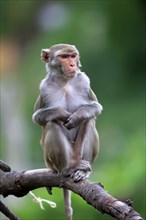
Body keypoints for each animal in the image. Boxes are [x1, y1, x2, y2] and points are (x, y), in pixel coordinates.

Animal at [32, 43, 102, 219]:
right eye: (63, 57)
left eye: (73, 56)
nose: (71, 65)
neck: (65, 83)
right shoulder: (43, 87)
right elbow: (38, 117)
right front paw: (62, 113)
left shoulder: (84, 81)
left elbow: (95, 107)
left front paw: (78, 116)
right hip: (51, 161)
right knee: (52, 124)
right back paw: (66, 170)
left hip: (78, 152)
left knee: (90, 121)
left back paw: (82, 171)